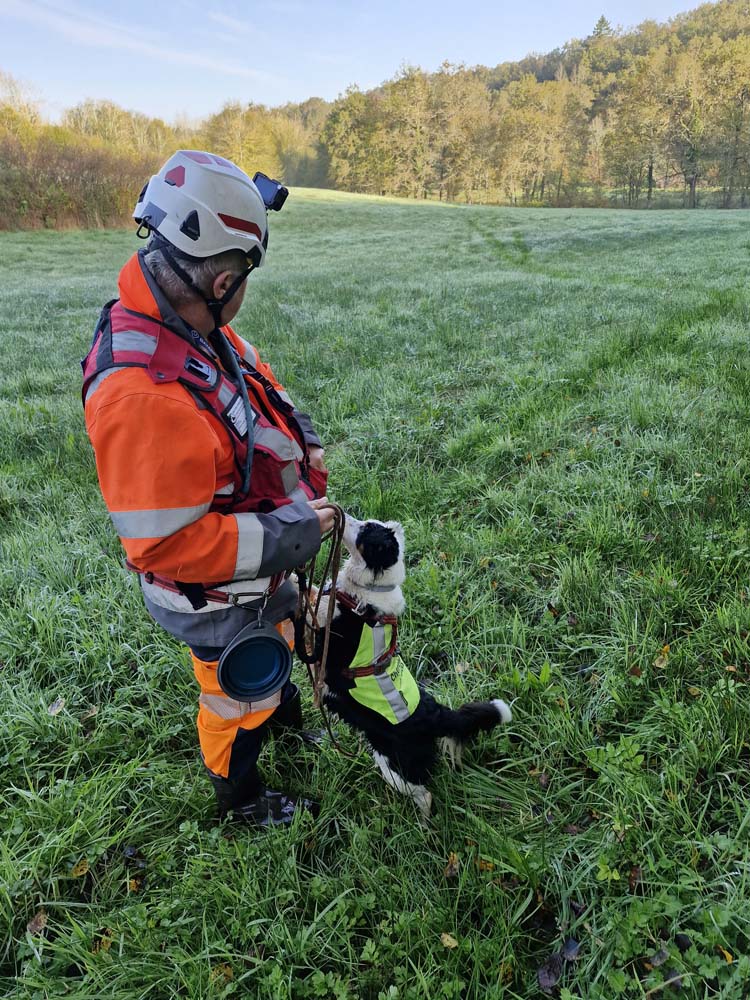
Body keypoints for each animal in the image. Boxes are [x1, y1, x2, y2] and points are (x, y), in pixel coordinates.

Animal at [320, 520, 516, 816]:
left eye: (365, 529)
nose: (345, 516)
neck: (368, 592)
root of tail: (438, 716)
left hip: (395, 767)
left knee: (425, 795)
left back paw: (422, 823)